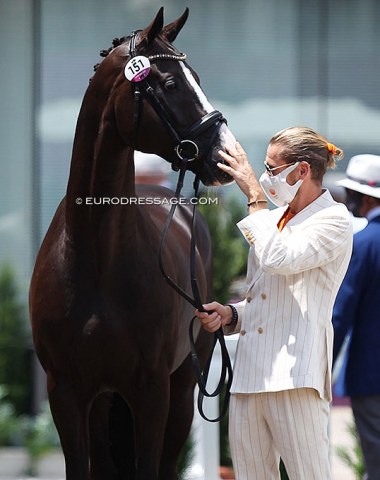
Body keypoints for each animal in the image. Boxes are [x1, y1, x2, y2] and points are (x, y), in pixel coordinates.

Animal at [29, 8, 235, 480]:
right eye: (171, 83)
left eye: (197, 78)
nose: (226, 156)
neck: (94, 257)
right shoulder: (66, 392)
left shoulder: (152, 391)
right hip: (104, 401)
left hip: (183, 390)